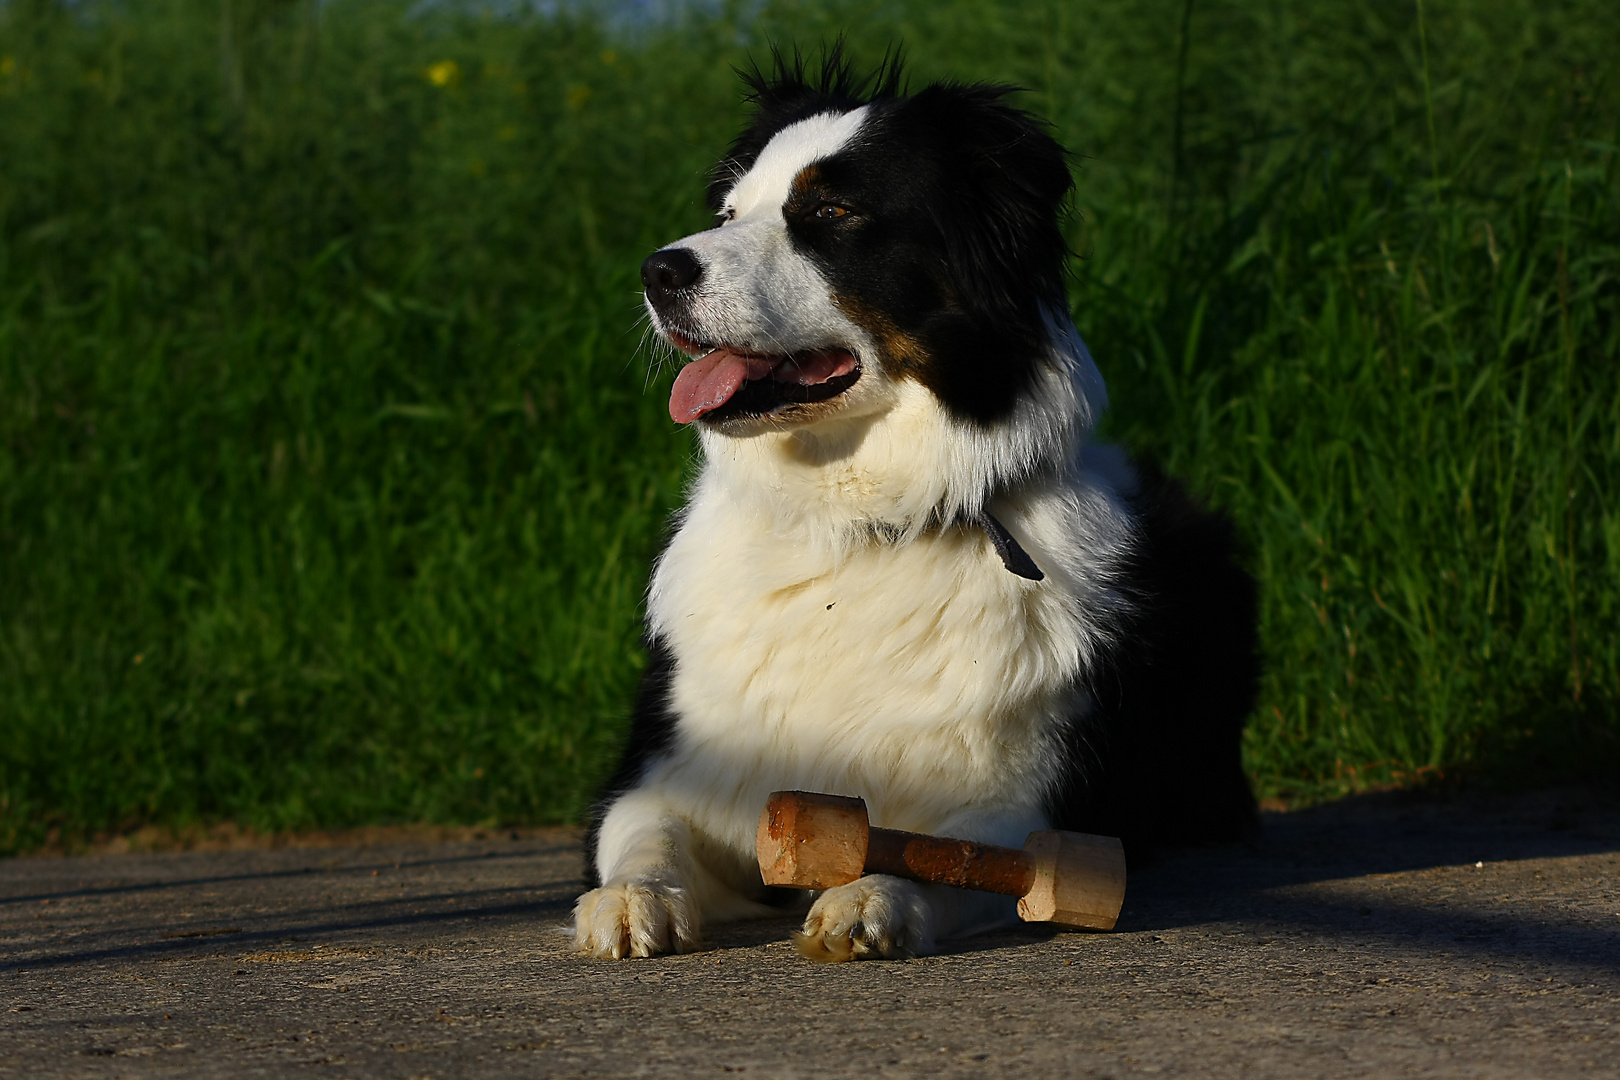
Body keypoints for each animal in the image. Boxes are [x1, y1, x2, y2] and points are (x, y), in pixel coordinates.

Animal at [576, 48, 1257, 965]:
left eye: (832, 212)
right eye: (728, 211)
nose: (658, 271)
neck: (858, 526)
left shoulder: (1037, 795)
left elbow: (962, 857)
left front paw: (872, 897)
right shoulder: (668, 766)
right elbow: (643, 832)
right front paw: (630, 900)